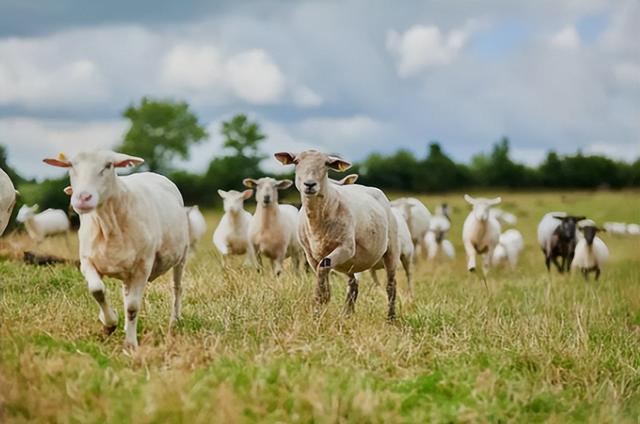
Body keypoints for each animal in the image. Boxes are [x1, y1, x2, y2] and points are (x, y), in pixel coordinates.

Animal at [42, 150, 190, 348]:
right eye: (71, 165)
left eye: (108, 165)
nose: (82, 198)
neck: (108, 224)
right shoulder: (86, 261)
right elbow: (97, 290)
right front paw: (108, 323)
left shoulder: (143, 266)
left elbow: (133, 307)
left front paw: (130, 344)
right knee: (125, 294)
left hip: (181, 256)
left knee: (177, 288)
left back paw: (175, 320)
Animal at [276, 149, 400, 318]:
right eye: (296, 162)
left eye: (326, 164)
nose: (310, 184)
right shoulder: (311, 256)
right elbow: (323, 279)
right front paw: (318, 312)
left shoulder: (346, 247)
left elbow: (323, 271)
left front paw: (319, 305)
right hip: (349, 262)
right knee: (353, 284)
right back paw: (347, 315)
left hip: (390, 249)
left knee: (391, 285)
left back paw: (391, 318)